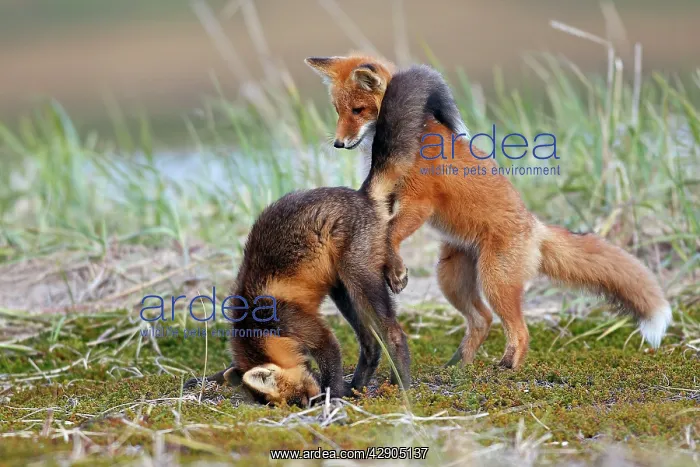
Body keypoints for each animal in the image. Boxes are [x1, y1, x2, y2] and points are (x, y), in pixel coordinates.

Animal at [185, 187, 411, 406]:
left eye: (301, 398)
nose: (312, 402)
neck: (258, 325)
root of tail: (360, 195)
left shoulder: (303, 327)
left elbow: (330, 361)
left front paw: (333, 397)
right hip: (342, 292)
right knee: (371, 343)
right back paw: (356, 387)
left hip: (359, 279)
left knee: (394, 334)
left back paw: (399, 385)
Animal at [305, 54, 673, 369]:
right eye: (338, 111)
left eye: (358, 109)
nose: (338, 143)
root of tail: (534, 226)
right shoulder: (389, 199)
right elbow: (385, 233)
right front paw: (391, 267)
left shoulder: (419, 203)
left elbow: (392, 233)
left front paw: (396, 272)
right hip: (451, 278)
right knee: (482, 320)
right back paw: (459, 367)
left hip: (495, 281)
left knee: (519, 330)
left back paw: (507, 367)